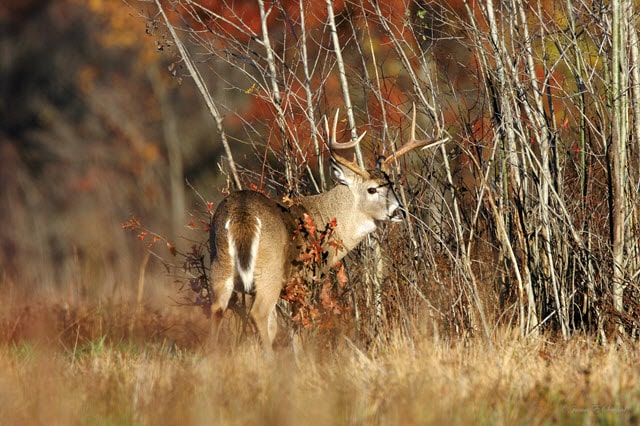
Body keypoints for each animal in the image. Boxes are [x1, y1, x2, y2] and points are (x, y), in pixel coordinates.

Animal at [209, 110, 444, 352]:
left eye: (393, 186)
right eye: (372, 189)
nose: (400, 212)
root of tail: (242, 214)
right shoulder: (307, 278)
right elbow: (298, 329)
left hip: (220, 265)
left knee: (217, 311)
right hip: (269, 271)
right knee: (259, 314)